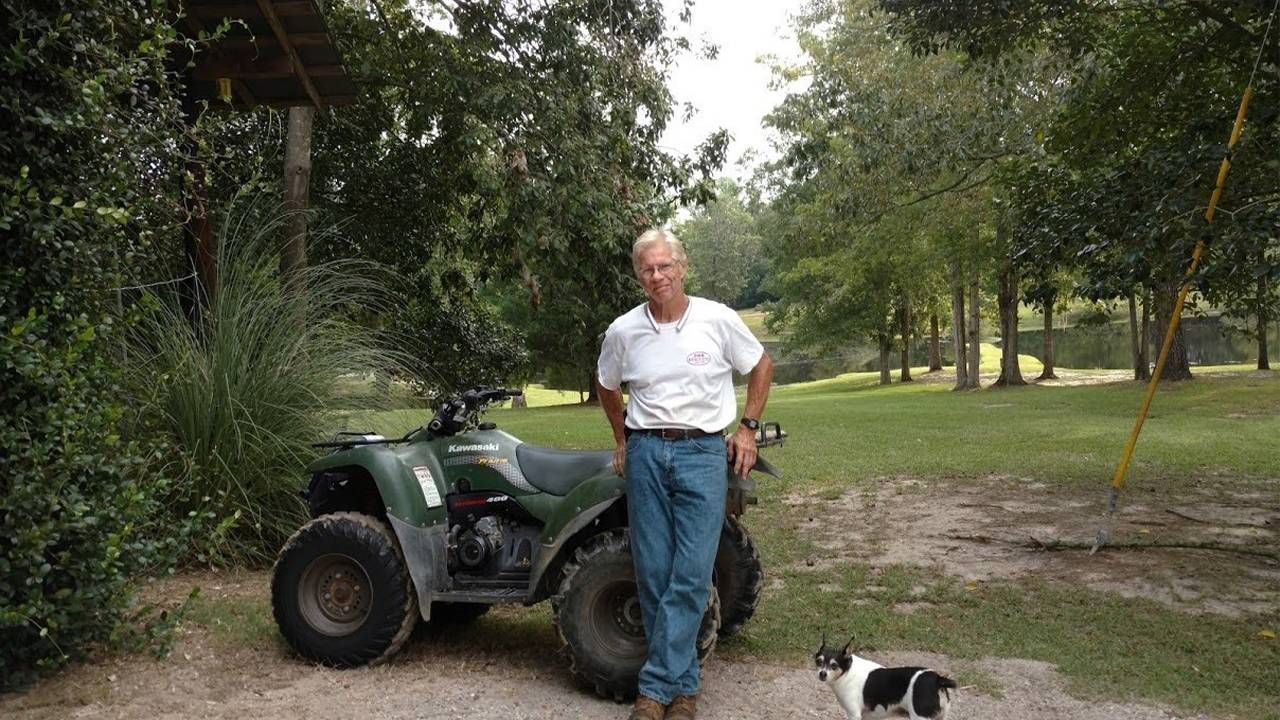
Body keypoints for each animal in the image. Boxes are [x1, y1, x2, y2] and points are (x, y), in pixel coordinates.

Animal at [814, 632, 957, 717]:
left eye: (834, 665)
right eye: (819, 661)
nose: (822, 674)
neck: (847, 671)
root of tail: (937, 679)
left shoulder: (853, 714)